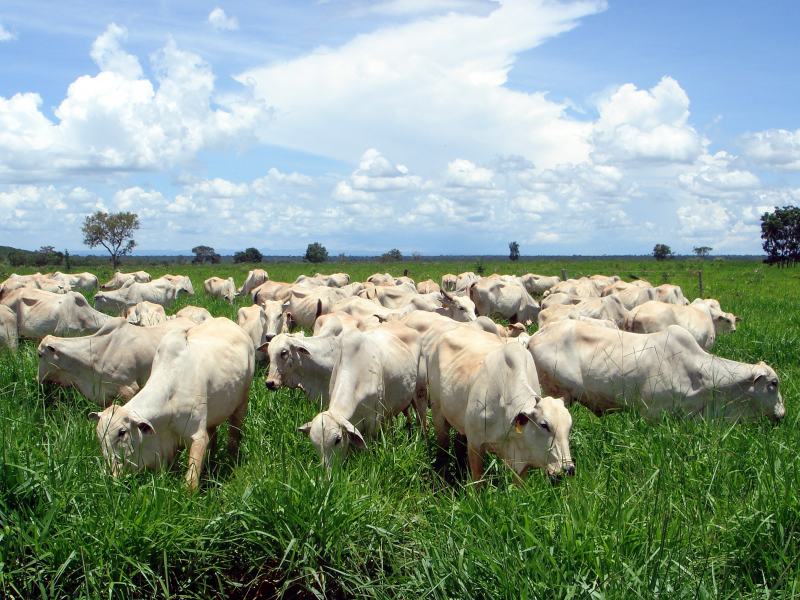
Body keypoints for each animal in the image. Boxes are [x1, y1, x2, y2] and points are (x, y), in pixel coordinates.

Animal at [89, 316, 255, 490]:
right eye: (99, 436)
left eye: (122, 432)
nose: (112, 474)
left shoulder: (197, 436)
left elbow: (191, 480)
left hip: (242, 403)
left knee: (234, 434)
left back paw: (231, 461)